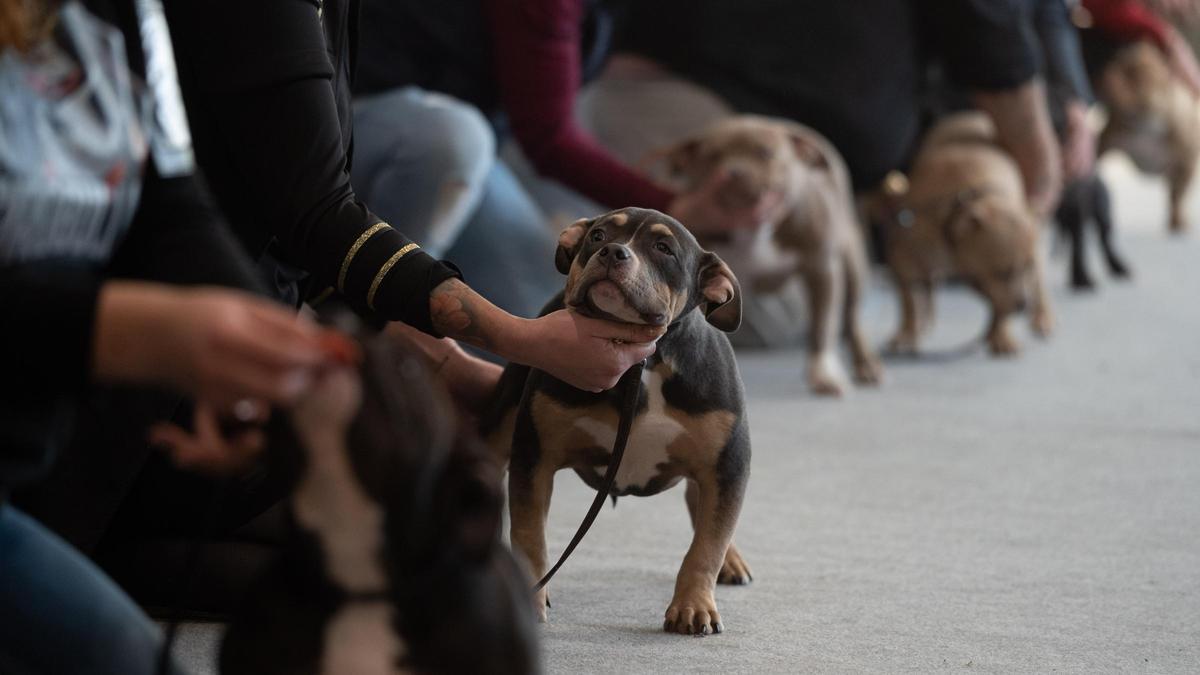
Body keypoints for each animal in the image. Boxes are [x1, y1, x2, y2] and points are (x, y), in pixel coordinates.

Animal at [652, 115, 888, 393]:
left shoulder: (820, 268)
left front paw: (823, 373)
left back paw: (866, 365)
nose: (733, 172)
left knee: (851, 317)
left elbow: (822, 325)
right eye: (712, 156)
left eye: (765, 153)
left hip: (852, 259)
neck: (750, 227)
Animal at [883, 112, 1051, 355]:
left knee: (1037, 286)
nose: (1022, 306)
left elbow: (1002, 307)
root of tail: (972, 116)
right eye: (1002, 272)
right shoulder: (904, 260)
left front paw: (1002, 336)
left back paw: (1040, 317)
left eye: (1023, 268)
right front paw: (907, 332)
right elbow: (909, 302)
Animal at [1099, 40, 1200, 234]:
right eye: (1122, 60)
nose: (1111, 70)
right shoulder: (1107, 138)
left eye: (1137, 78)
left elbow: (1178, 195)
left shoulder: (1185, 161)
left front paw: (1178, 221)